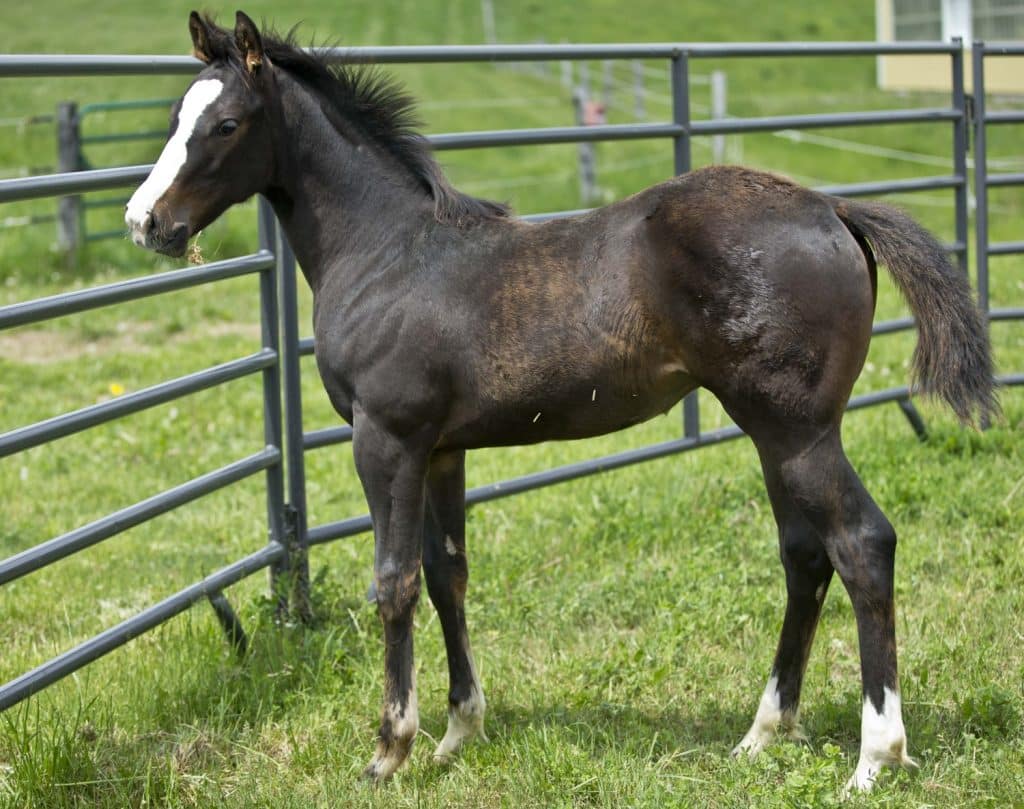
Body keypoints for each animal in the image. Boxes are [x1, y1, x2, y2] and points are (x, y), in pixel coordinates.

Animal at [123, 11, 995, 790]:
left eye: (225, 124)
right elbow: (447, 573)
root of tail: (834, 210)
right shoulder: (442, 448)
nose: (145, 222)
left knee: (862, 544)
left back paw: (874, 756)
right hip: (773, 432)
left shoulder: (387, 439)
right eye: (173, 118)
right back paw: (763, 733)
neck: (388, 252)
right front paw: (458, 733)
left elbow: (394, 580)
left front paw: (389, 750)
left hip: (799, 430)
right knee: (806, 555)